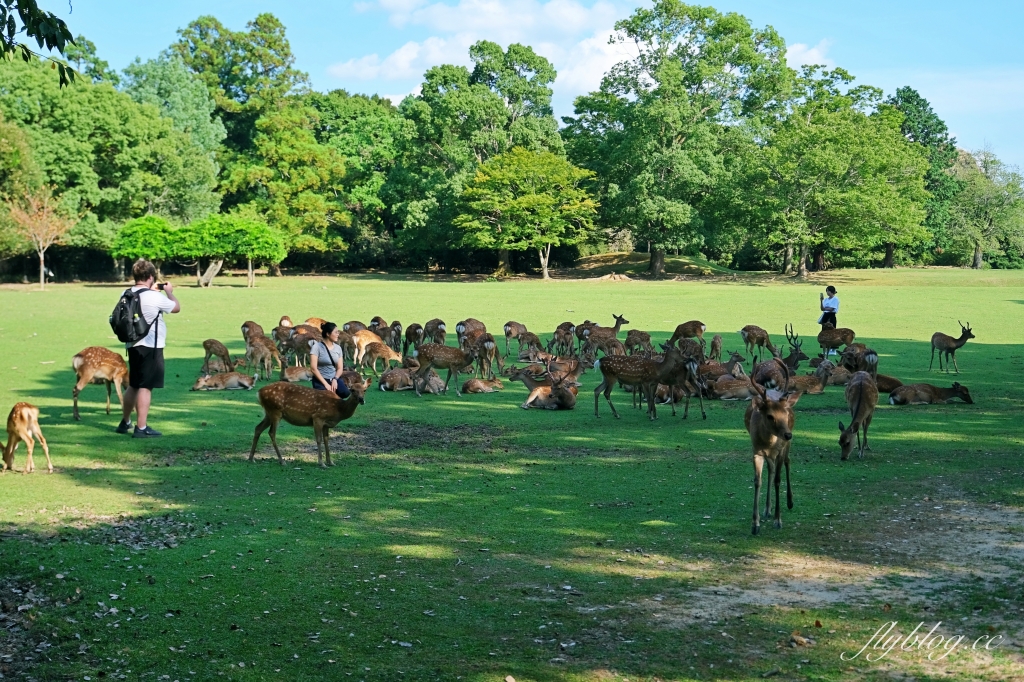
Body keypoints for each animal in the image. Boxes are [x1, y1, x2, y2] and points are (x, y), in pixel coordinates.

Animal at [745, 378, 798, 532]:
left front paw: (778, 520)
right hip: (769, 454)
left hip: (786, 445)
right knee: (771, 469)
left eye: (785, 415)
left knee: (787, 461)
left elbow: (777, 481)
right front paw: (755, 524)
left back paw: (790, 502)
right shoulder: (756, 451)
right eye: (770, 416)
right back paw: (767, 509)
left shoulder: (779, 451)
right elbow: (757, 481)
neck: (768, 442)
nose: (788, 435)